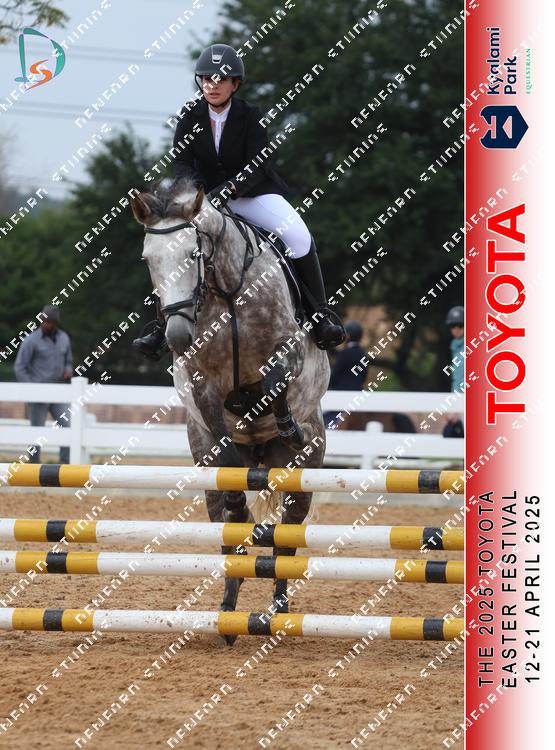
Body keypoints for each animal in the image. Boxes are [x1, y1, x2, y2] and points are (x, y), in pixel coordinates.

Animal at [131, 177, 328, 639]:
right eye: (149, 260)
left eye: (193, 255)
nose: (176, 336)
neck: (225, 288)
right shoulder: (204, 386)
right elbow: (225, 447)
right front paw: (240, 503)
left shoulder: (287, 352)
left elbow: (273, 384)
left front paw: (287, 423)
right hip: (207, 471)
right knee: (229, 532)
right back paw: (227, 610)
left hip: (302, 472)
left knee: (287, 538)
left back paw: (278, 609)